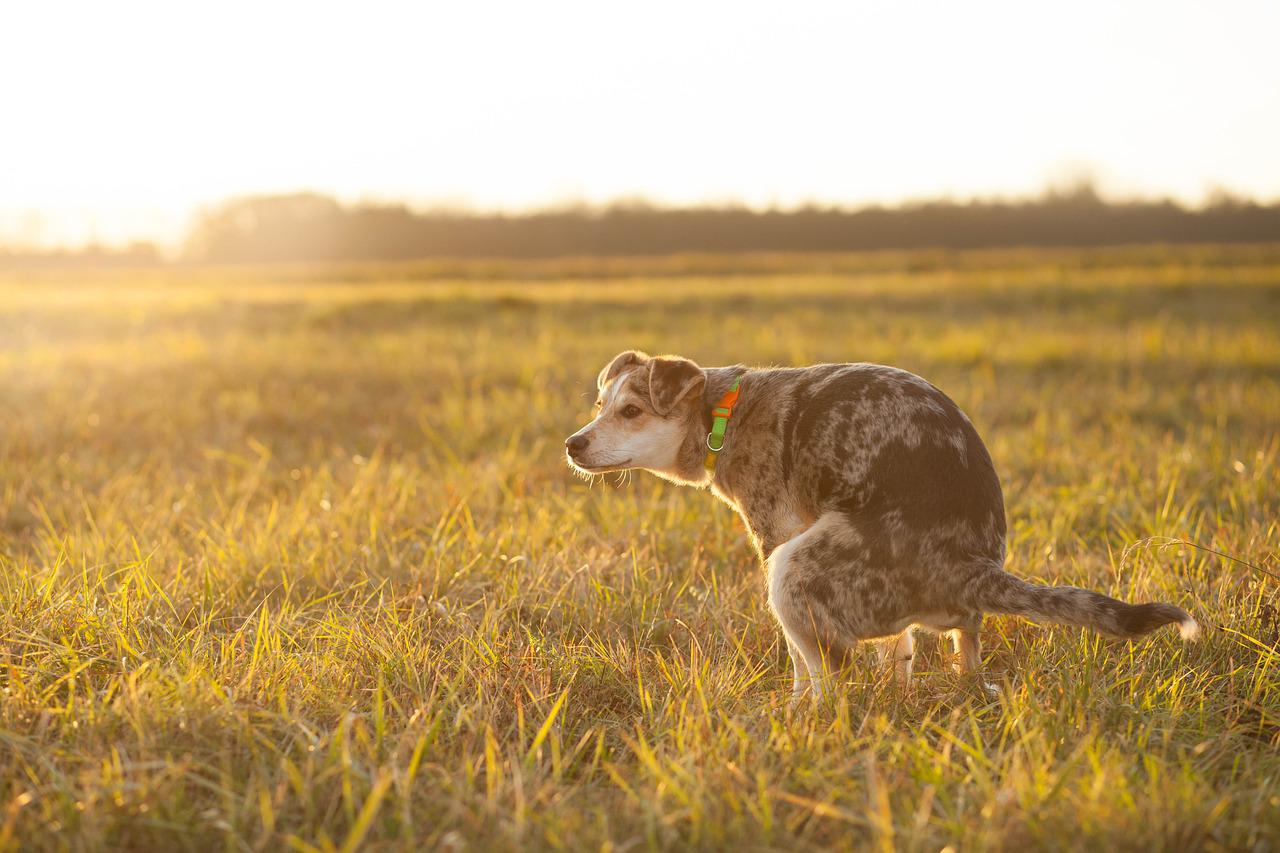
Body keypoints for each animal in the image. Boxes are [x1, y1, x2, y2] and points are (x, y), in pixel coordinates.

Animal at [565, 348, 1192, 701]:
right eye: (599, 406)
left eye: (631, 411)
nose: (572, 444)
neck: (724, 412)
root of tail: (972, 567)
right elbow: (901, 650)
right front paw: (899, 684)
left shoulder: (776, 536)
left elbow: (800, 661)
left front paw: (796, 706)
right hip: (940, 615)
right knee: (961, 646)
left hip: (793, 569)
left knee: (832, 676)